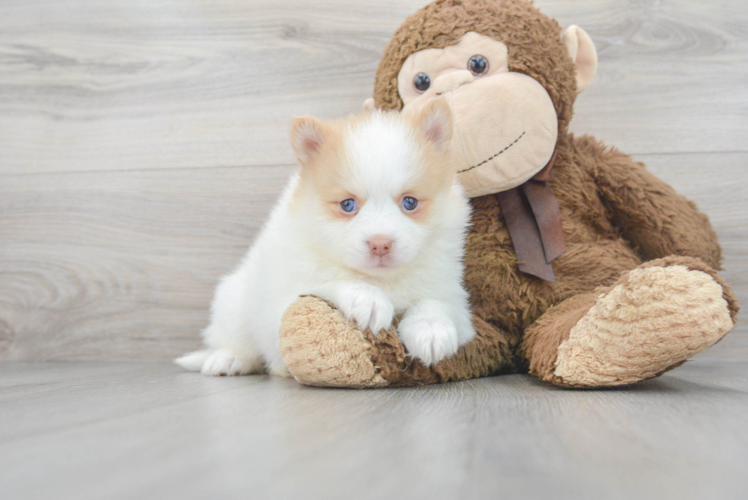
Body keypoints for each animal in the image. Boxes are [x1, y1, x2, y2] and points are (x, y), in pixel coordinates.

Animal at [175, 99, 474, 376]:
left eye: (409, 202)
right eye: (347, 205)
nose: (380, 244)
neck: (383, 280)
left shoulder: (453, 296)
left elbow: (436, 303)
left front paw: (431, 330)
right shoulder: (284, 301)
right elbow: (327, 283)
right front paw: (368, 299)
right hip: (234, 302)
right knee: (235, 341)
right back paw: (228, 359)